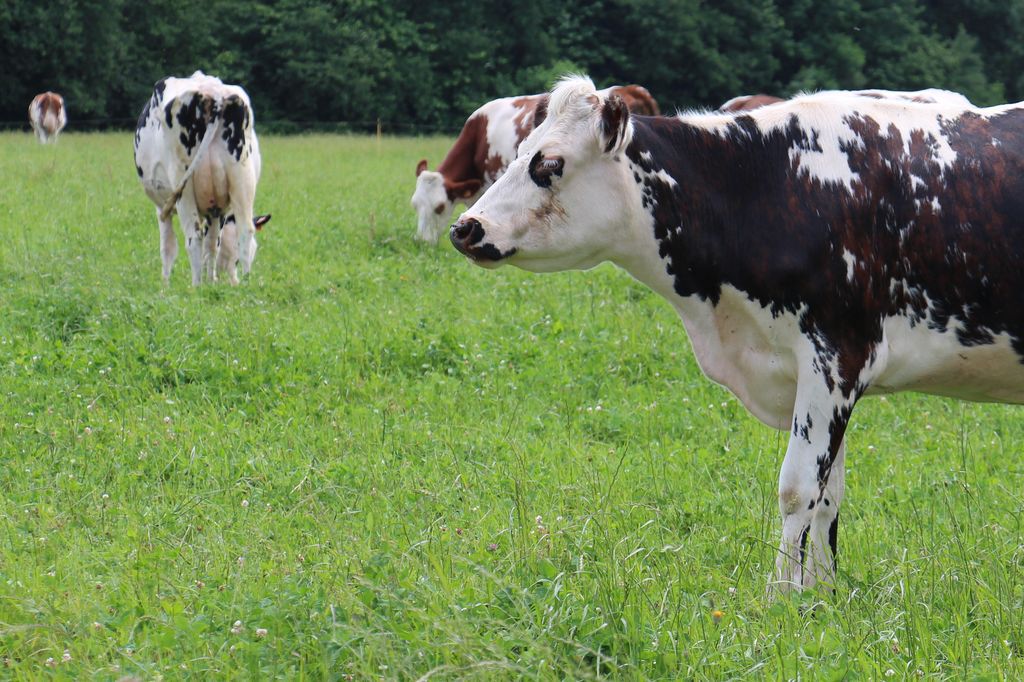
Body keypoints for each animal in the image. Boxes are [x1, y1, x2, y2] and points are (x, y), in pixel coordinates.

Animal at [134, 73, 270, 284]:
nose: (233, 281)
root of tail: (213, 95)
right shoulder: (217, 210)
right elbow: (213, 245)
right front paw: (211, 282)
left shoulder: (162, 207)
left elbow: (168, 248)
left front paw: (165, 286)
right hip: (242, 180)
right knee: (245, 231)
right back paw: (246, 284)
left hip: (183, 187)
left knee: (194, 236)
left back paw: (196, 286)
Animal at [452, 76, 1024, 593]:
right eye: (518, 152)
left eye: (550, 164)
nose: (465, 227)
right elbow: (828, 493)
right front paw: (822, 599)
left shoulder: (836, 358)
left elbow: (798, 489)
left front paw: (781, 601)